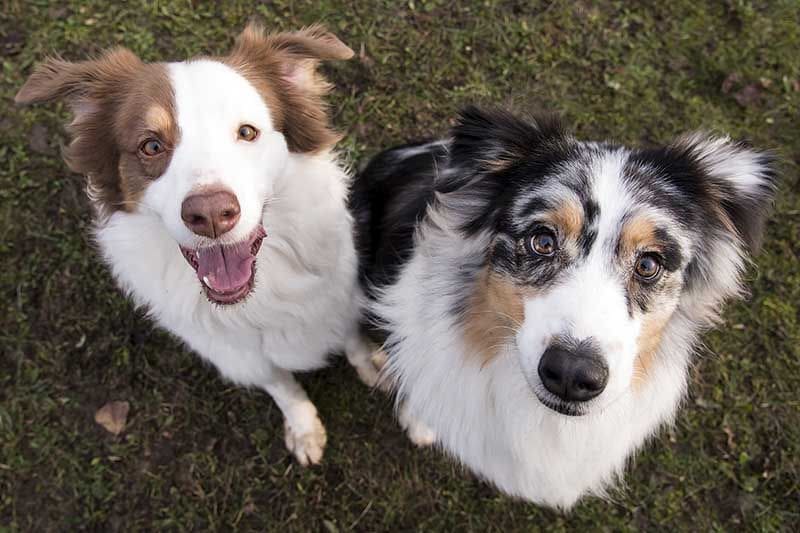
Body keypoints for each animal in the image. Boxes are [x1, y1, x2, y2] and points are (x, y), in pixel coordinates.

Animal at [17, 25, 382, 464]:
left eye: (247, 132)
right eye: (151, 145)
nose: (210, 214)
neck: (257, 296)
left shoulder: (339, 295)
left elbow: (351, 337)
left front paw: (374, 364)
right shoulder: (236, 352)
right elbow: (281, 385)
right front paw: (303, 426)